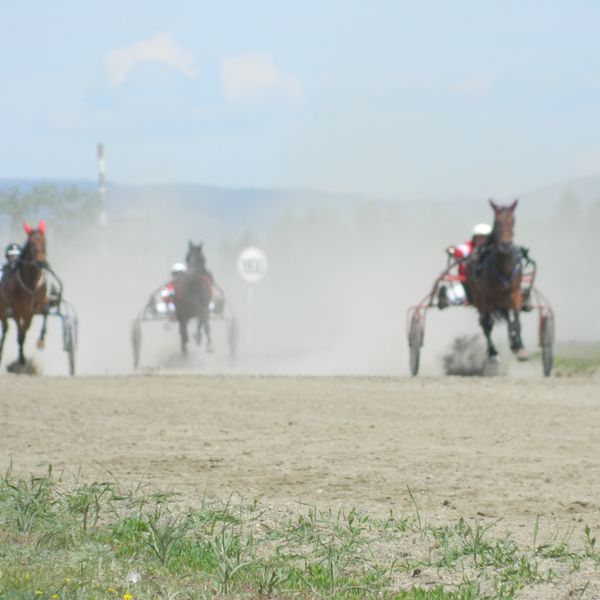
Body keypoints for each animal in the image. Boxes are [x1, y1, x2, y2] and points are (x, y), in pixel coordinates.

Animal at [0, 223, 50, 368]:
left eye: (44, 241)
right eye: (32, 243)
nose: (40, 262)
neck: (31, 284)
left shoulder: (35, 307)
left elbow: (43, 313)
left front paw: (40, 342)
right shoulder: (18, 309)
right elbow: (20, 333)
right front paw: (21, 358)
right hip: (3, 308)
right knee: (6, 328)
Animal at [464, 199, 528, 364]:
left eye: (513, 221)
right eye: (497, 222)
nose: (505, 244)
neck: (503, 268)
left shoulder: (515, 292)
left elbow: (517, 319)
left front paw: (520, 347)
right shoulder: (485, 298)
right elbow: (487, 324)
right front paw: (493, 353)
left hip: (502, 299)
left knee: (507, 316)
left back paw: (513, 342)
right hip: (480, 298)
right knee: (485, 322)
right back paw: (493, 351)